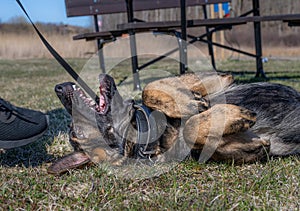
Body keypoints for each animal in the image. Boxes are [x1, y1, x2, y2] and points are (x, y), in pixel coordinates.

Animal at [48, 73, 300, 175]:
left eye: (72, 127)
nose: (57, 88)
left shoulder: (216, 82)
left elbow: (150, 88)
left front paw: (187, 103)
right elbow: (190, 130)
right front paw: (226, 117)